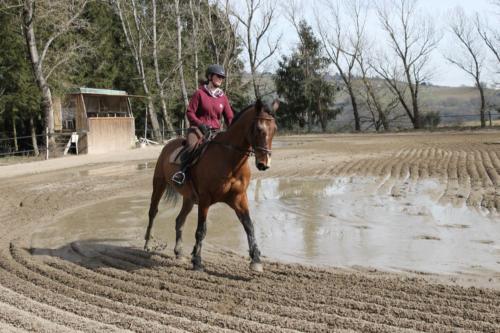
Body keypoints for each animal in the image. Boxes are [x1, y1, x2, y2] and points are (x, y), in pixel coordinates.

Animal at [145, 98, 280, 270]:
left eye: (274, 129)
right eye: (258, 128)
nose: (264, 163)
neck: (229, 159)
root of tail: (168, 144)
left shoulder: (239, 198)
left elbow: (249, 225)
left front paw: (256, 260)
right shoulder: (205, 199)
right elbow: (201, 230)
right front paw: (197, 261)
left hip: (189, 199)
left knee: (179, 220)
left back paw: (179, 252)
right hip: (159, 184)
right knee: (153, 212)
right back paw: (148, 243)